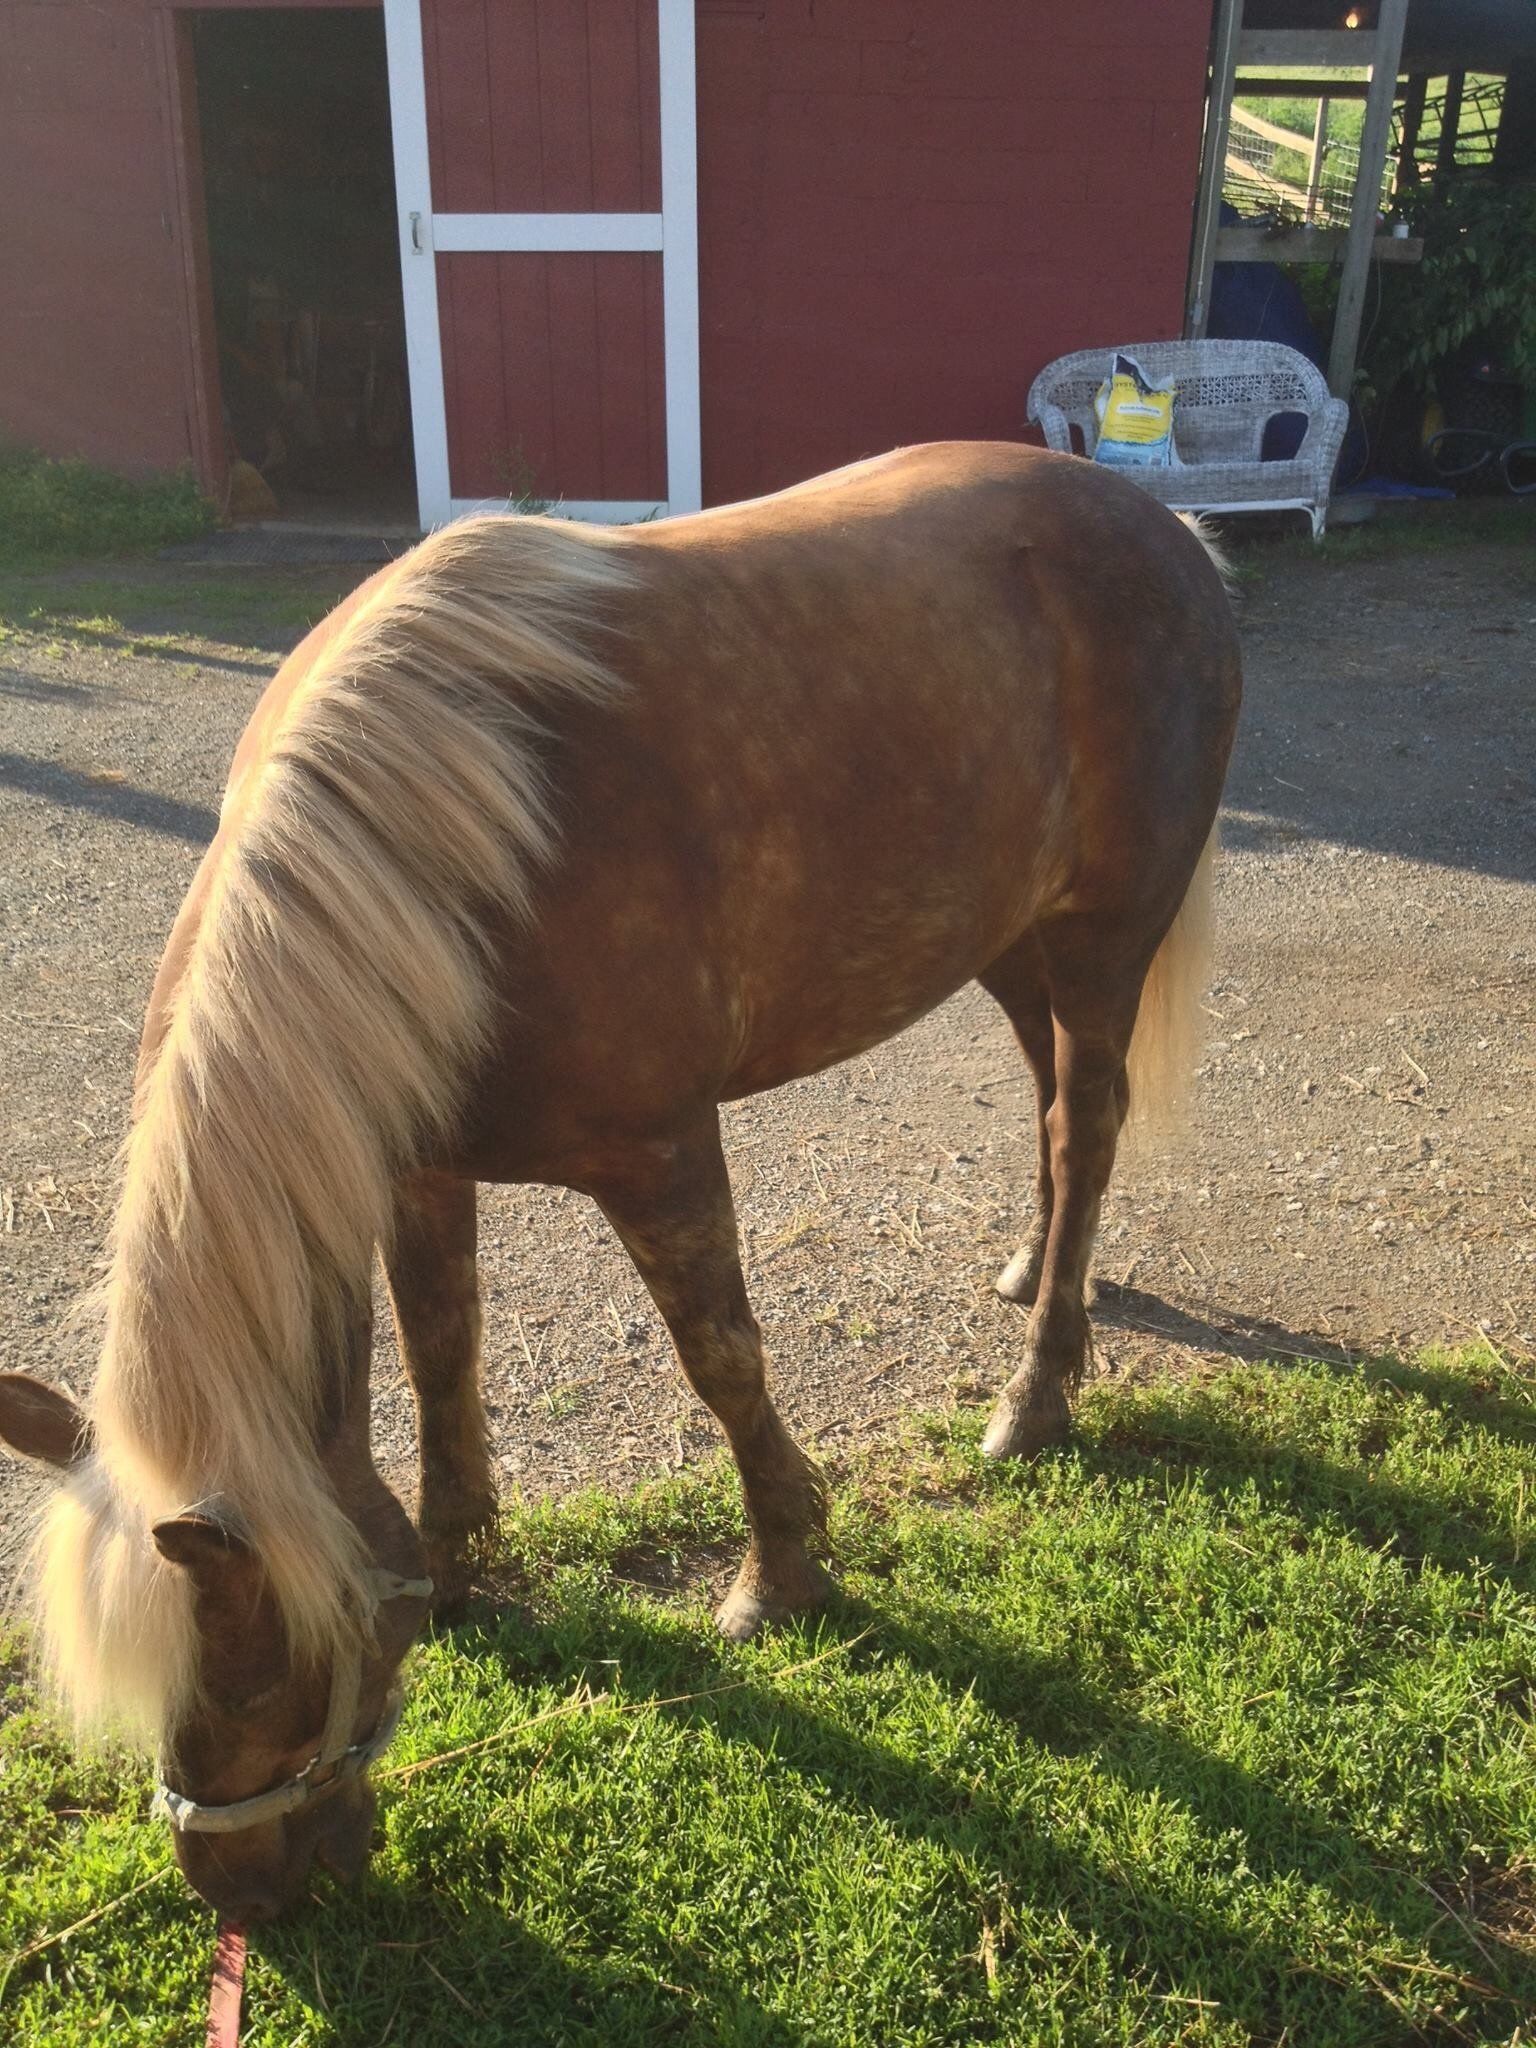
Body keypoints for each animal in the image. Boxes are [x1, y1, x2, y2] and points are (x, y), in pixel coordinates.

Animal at [0, 442, 1240, 1921]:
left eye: (252, 1673)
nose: (239, 1890)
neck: (456, 849)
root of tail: (1167, 530)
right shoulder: (420, 1168)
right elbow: (443, 1357)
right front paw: (460, 1570)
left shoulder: (658, 1152)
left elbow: (724, 1360)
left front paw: (783, 1572)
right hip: (1004, 935)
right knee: (1053, 1099)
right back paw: (1031, 1272)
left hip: (1105, 934)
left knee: (1085, 1121)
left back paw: (1037, 1390)